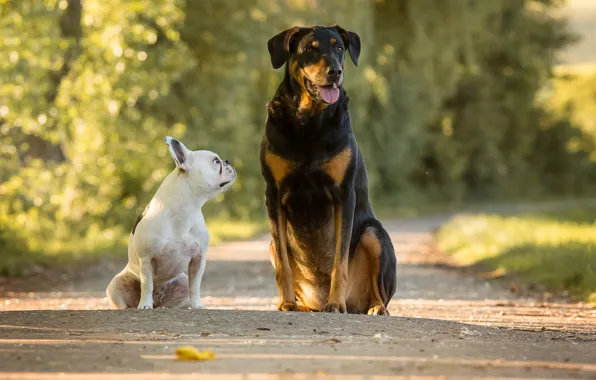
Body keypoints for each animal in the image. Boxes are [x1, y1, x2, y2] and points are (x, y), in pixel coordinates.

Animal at [106, 137, 236, 308]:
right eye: (216, 161)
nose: (228, 161)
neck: (186, 209)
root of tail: (159, 302)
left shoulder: (198, 259)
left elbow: (195, 286)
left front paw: (197, 305)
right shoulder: (146, 259)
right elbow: (147, 285)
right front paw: (145, 305)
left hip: (182, 282)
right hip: (115, 284)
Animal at [260, 24, 396, 314]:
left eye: (339, 48)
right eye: (310, 48)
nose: (335, 71)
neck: (310, 122)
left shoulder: (343, 194)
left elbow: (339, 261)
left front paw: (335, 303)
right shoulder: (274, 194)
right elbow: (284, 265)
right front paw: (286, 302)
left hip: (375, 235)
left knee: (380, 291)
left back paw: (374, 307)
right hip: (270, 246)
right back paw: (301, 305)